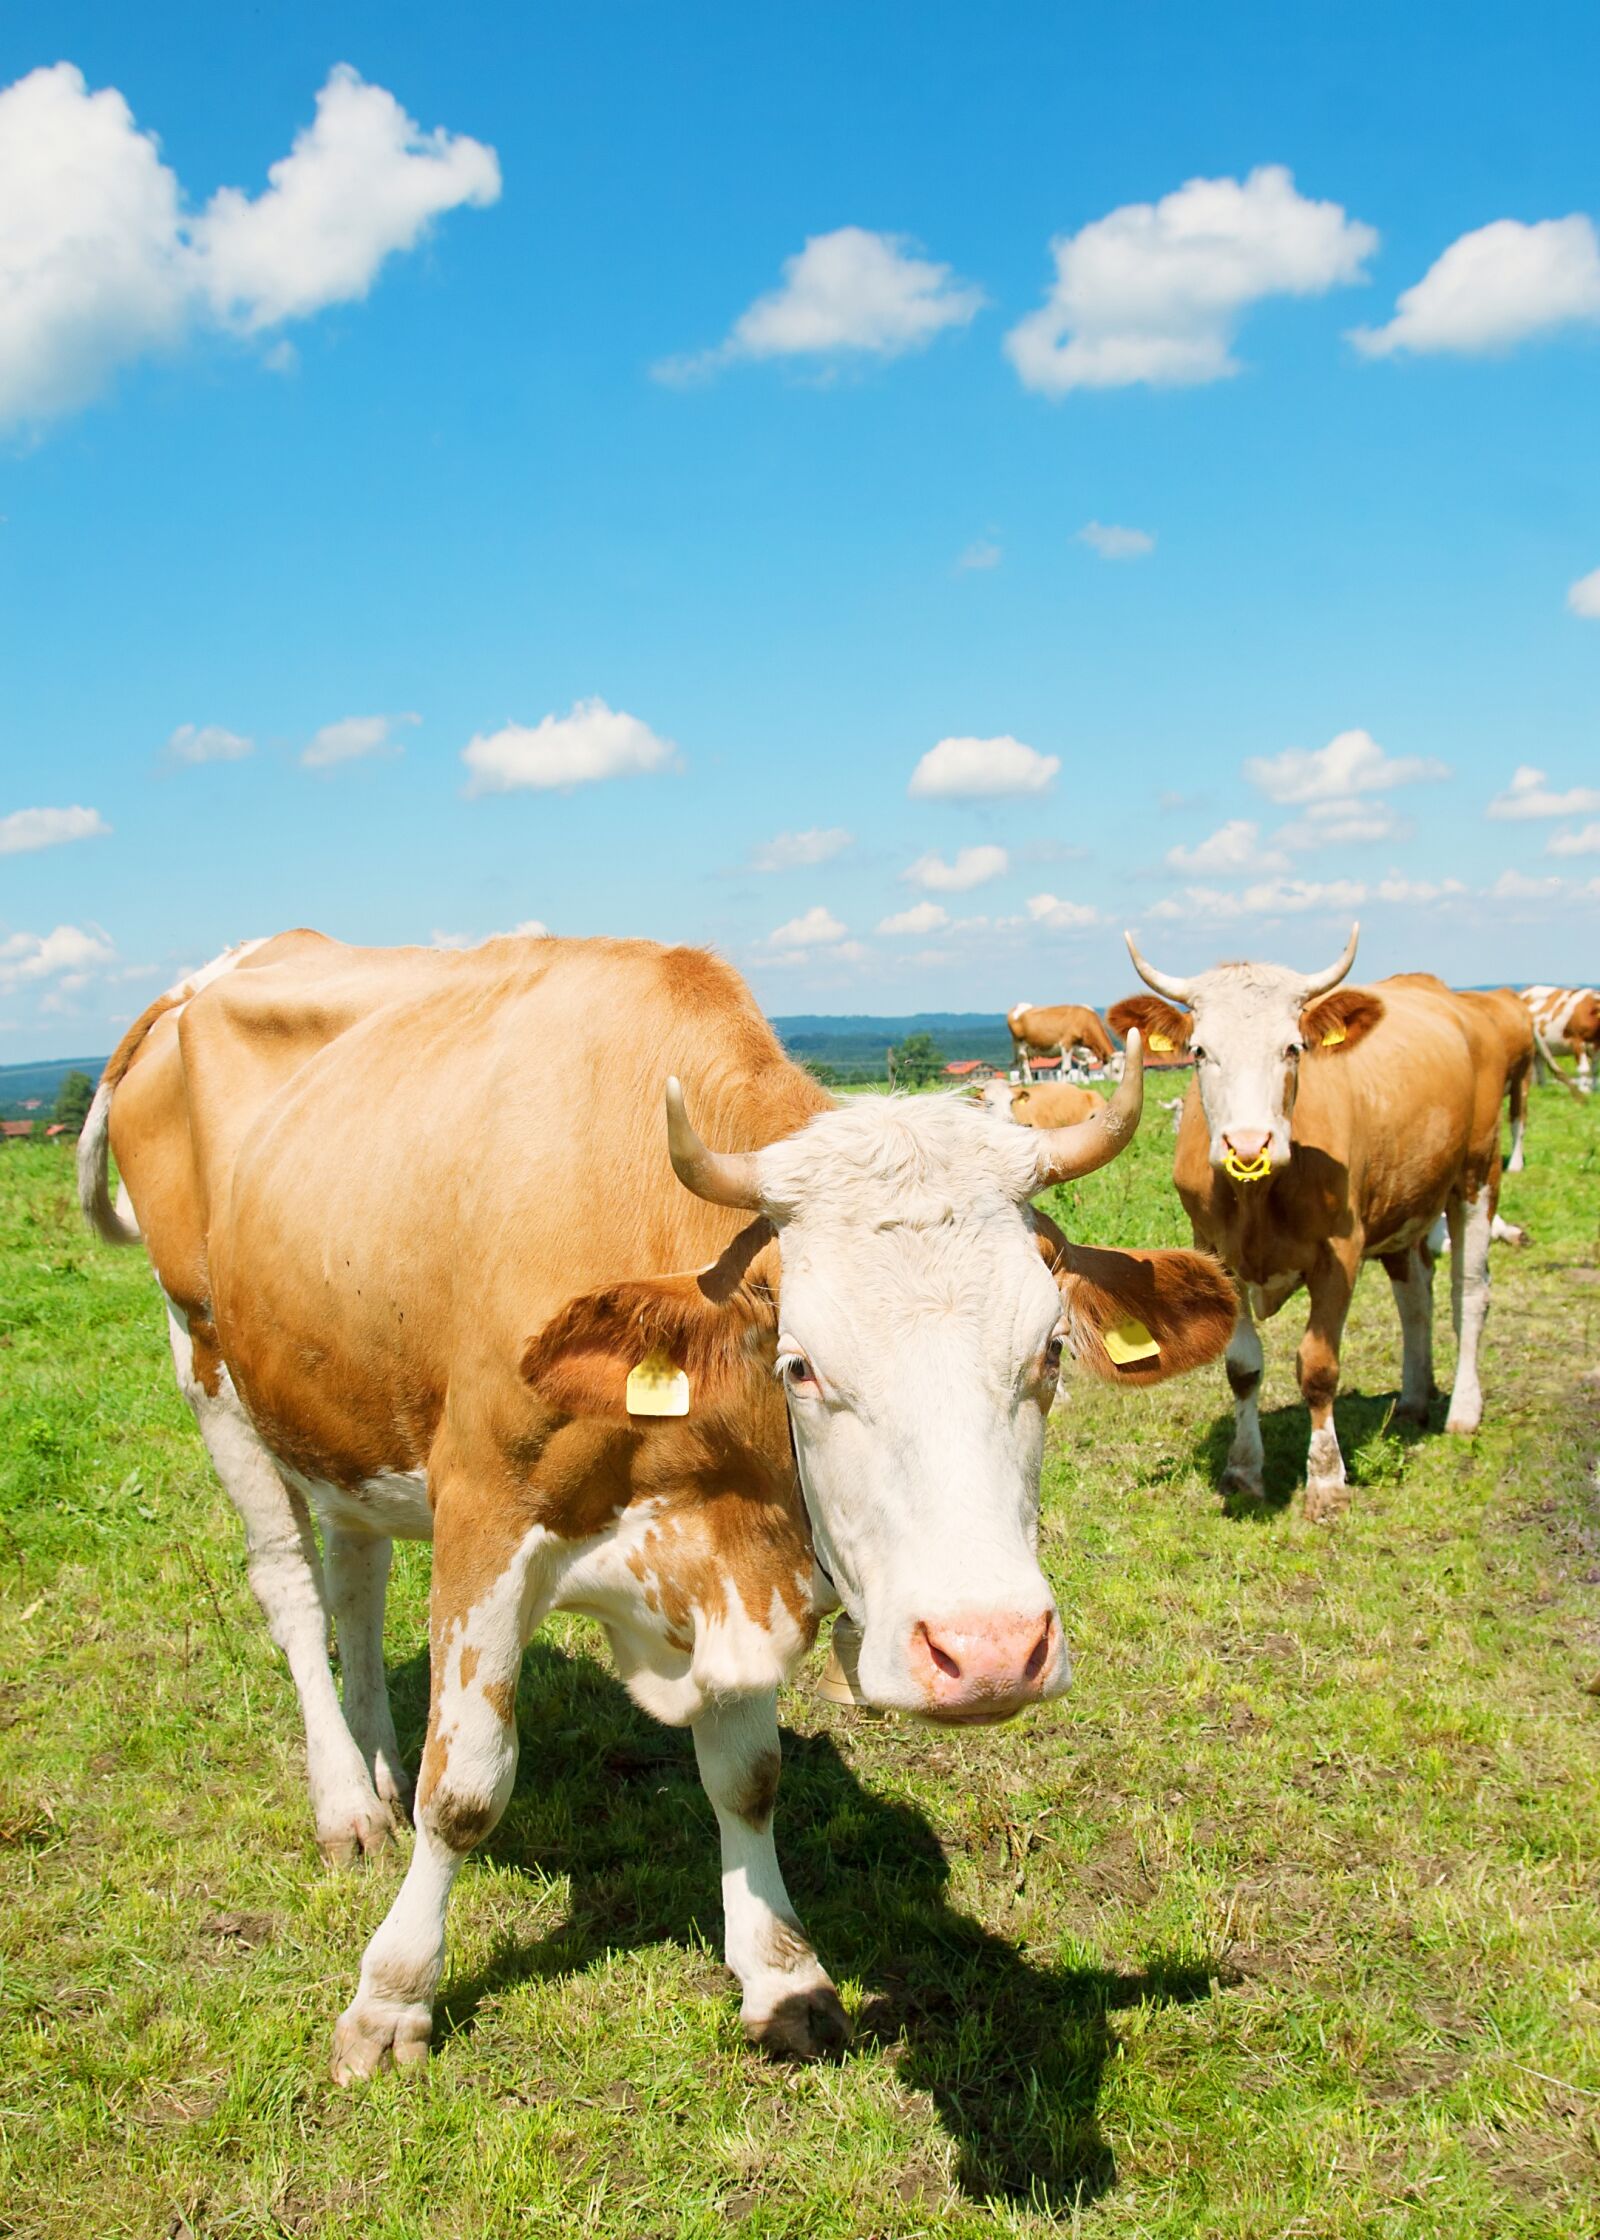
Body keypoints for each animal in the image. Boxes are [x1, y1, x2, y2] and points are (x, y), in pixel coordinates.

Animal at [81, 930, 1236, 2079]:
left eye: (1050, 1352)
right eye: (800, 1364)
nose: (990, 1651)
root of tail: (206, 981)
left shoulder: (738, 1550)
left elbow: (749, 1776)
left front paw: (781, 1973)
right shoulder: (485, 1516)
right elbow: (463, 1787)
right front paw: (392, 1997)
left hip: (338, 1405)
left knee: (356, 1575)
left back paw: (373, 1759)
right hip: (207, 1360)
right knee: (291, 1585)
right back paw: (345, 1801)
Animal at [1107, 925, 1518, 1522]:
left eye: (1293, 1048)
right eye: (1200, 1051)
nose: (1248, 1145)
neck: (1257, 1198)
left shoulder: (1339, 1254)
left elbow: (1318, 1368)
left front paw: (1326, 1480)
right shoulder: (1215, 1251)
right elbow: (1242, 1368)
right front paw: (1243, 1471)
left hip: (1476, 1175)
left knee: (1470, 1290)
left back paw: (1463, 1409)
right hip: (1405, 1199)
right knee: (1415, 1295)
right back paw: (1414, 1398)